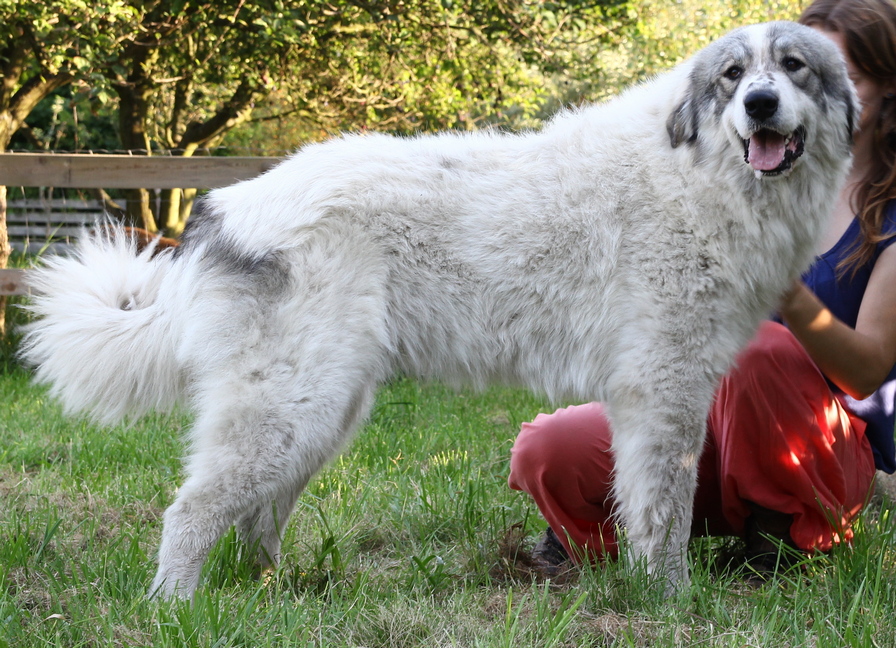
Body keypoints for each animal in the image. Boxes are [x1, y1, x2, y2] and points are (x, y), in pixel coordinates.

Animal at [21, 21, 856, 596]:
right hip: (292, 408)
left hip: (319, 413)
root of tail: (228, 209)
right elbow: (666, 516)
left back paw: (268, 596)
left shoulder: (654, 398)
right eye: (732, 76)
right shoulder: (664, 392)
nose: (759, 104)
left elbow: (647, 508)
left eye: (793, 67)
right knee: (193, 512)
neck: (698, 171)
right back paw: (177, 607)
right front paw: (672, 602)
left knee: (258, 513)